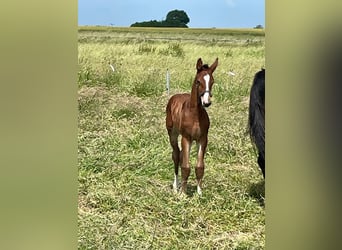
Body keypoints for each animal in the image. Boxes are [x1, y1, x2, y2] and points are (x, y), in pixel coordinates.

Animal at [166, 57, 219, 194]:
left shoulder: (203, 139)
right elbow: (185, 166)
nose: (207, 103)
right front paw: (183, 194)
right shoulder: (186, 138)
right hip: (172, 134)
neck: (194, 115)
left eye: (212, 81)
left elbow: (200, 167)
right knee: (176, 155)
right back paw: (176, 186)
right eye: (198, 81)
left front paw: (199, 193)